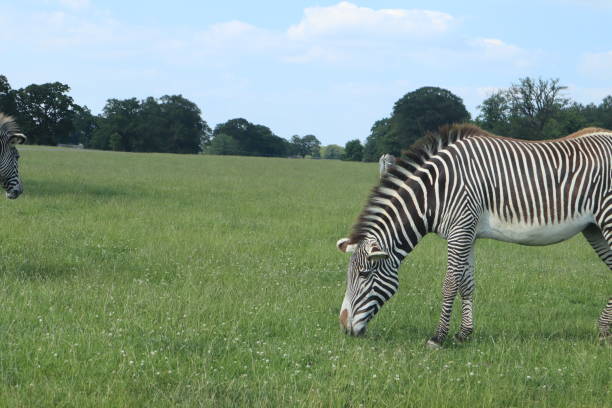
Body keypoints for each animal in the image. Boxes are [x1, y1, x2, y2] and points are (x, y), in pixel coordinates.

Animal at [338, 123, 612, 348]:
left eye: (364, 274)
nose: (343, 327)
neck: (435, 192)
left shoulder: (460, 229)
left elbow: (450, 283)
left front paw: (438, 337)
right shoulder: (467, 233)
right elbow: (466, 284)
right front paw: (464, 334)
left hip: (607, 217)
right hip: (593, 228)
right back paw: (604, 331)